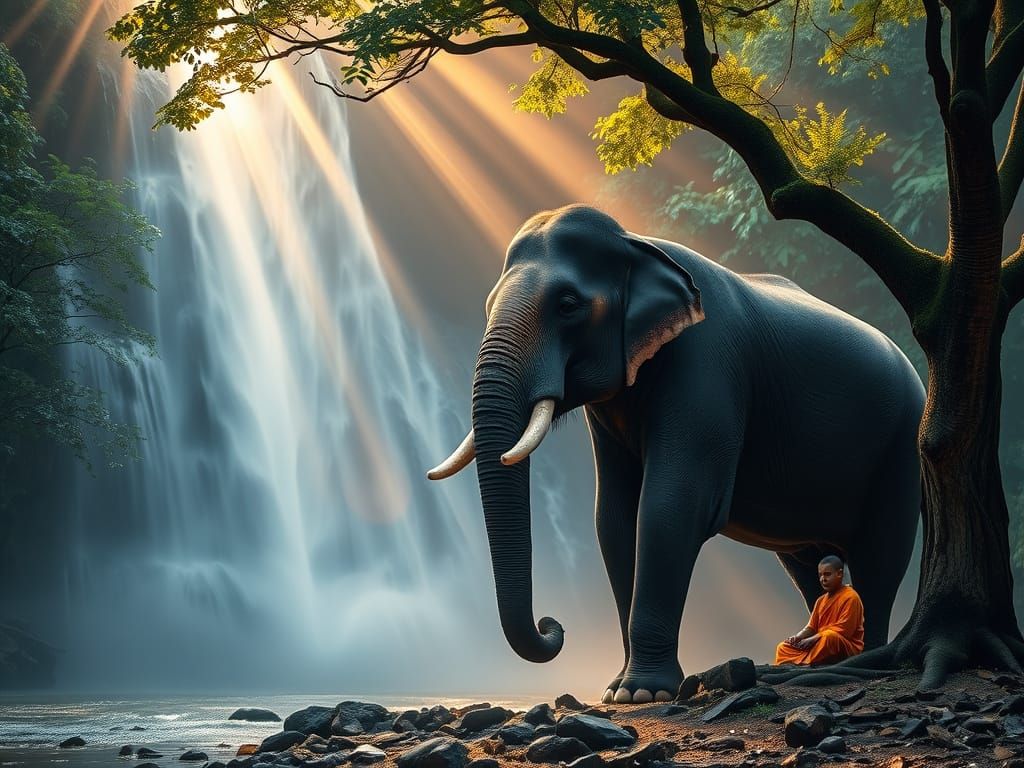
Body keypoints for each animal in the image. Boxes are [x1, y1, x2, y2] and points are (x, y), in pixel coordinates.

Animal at [428, 204, 924, 704]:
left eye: (568, 305)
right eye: (487, 306)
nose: (553, 625)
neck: (636, 242)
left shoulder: (708, 364)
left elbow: (670, 506)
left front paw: (642, 694)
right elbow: (613, 519)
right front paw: (615, 691)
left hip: (903, 448)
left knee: (881, 558)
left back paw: (862, 658)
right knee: (806, 564)